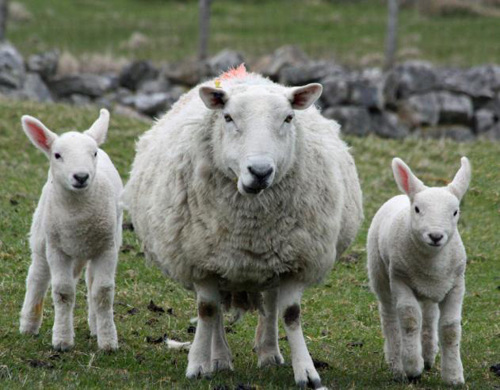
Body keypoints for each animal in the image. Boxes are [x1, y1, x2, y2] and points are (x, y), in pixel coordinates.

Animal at [19, 108, 122, 352]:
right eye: (57, 155)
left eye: (93, 153)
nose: (81, 177)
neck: (78, 215)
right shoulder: (57, 249)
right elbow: (63, 292)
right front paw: (62, 341)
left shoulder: (107, 248)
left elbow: (103, 293)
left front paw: (108, 341)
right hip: (42, 237)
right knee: (37, 276)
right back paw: (29, 324)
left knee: (91, 282)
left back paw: (95, 326)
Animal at [122, 64, 364, 386]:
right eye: (228, 117)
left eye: (288, 118)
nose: (260, 172)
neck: (251, 227)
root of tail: (244, 76)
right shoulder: (201, 262)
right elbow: (207, 310)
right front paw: (198, 364)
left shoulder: (297, 261)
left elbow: (291, 313)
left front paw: (306, 371)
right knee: (216, 310)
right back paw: (220, 358)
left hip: (272, 262)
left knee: (271, 304)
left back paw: (269, 353)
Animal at [366, 155, 470, 384]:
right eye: (417, 209)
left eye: (455, 212)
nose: (436, 236)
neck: (432, 262)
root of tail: (399, 195)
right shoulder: (400, 278)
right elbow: (410, 319)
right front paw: (413, 367)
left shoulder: (456, 285)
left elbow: (450, 328)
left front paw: (453, 376)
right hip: (380, 274)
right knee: (389, 316)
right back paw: (397, 364)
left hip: (430, 291)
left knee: (430, 316)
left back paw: (429, 355)